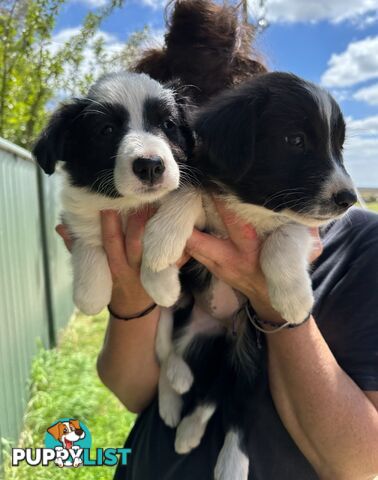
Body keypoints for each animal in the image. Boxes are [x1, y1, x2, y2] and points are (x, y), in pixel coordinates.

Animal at [33, 70, 193, 316]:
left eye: (168, 124)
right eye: (106, 130)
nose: (150, 166)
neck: (127, 203)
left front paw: (160, 271)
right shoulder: (77, 211)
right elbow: (87, 235)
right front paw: (90, 294)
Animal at [142, 71, 358, 480]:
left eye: (339, 147)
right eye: (295, 140)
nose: (349, 199)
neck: (253, 204)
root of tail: (224, 329)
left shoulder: (304, 229)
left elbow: (284, 237)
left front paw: (295, 299)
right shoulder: (205, 187)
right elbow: (187, 191)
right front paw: (161, 239)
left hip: (254, 354)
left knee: (235, 406)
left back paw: (226, 460)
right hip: (188, 320)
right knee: (177, 359)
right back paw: (175, 401)